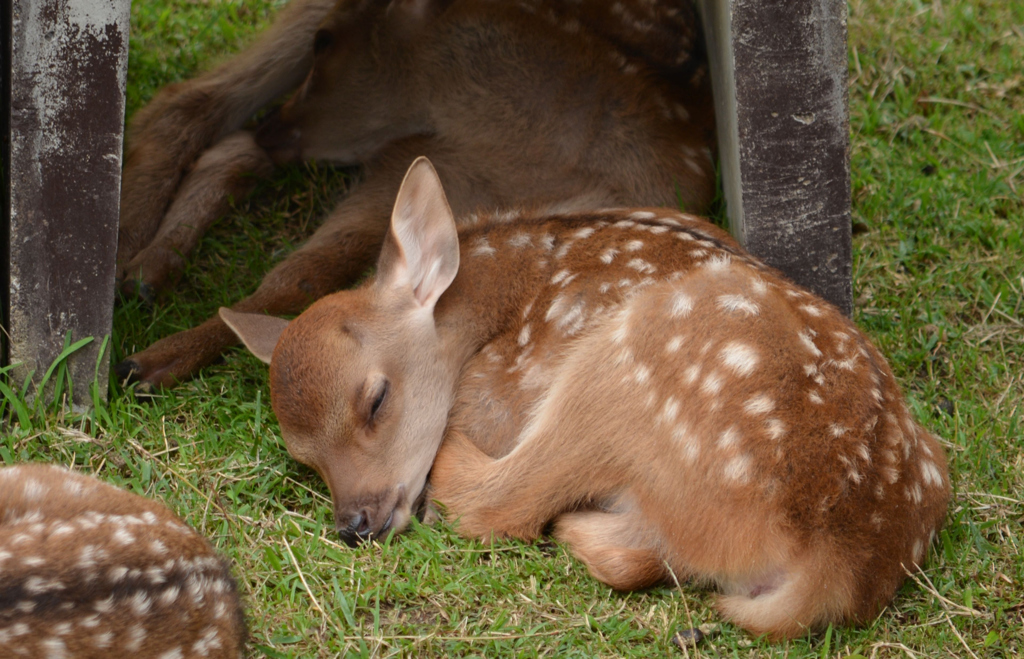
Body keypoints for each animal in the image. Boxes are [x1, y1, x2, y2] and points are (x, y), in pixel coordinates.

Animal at [116, 0, 716, 390]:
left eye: (326, 44)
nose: (279, 127)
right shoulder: (428, 166)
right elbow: (307, 274)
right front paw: (146, 360)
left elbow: (308, 274)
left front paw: (154, 359)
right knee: (193, 104)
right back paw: (131, 252)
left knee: (221, 134)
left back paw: (146, 267)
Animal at [226, 159, 950, 638]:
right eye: (303, 457)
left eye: (375, 400)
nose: (355, 524)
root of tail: (839, 556)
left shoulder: (499, 390)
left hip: (622, 369)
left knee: (503, 504)